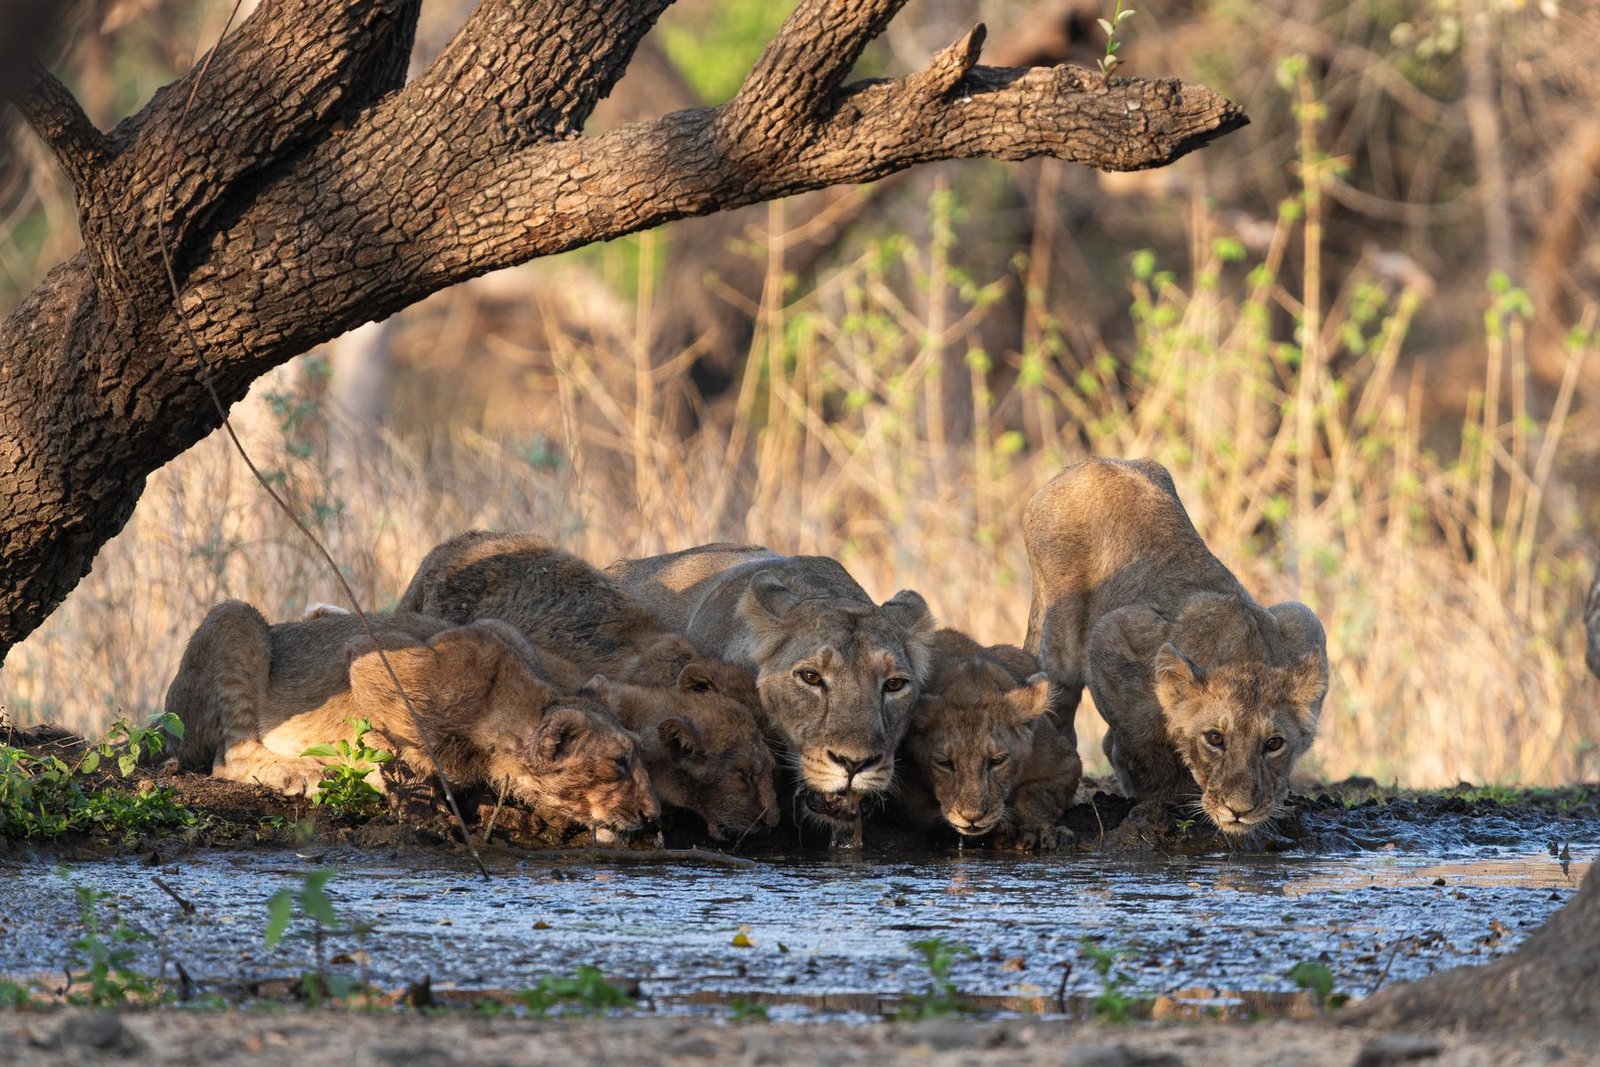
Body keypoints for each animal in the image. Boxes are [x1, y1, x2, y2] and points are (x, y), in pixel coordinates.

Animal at [164, 600, 660, 837]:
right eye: (618, 763)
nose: (654, 815)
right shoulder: (370, 659)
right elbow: (391, 750)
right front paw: (420, 802)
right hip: (236, 618)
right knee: (226, 758)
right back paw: (303, 772)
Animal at [896, 629, 1081, 850]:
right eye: (945, 763)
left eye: (997, 761)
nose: (972, 817)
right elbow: (919, 808)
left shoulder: (1065, 763)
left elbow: (1038, 797)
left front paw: (1034, 830)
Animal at [1022, 458, 1329, 837]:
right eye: (1214, 738)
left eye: (1274, 744)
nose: (1239, 811)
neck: (1243, 651)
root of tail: (1088, 463)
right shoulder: (1113, 636)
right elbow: (1145, 745)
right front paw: (1167, 803)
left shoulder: (1303, 619)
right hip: (1059, 639)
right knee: (1058, 705)